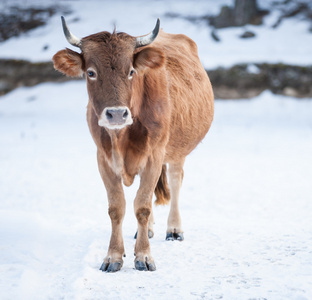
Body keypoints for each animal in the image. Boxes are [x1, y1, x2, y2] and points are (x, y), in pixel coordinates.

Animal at [53, 17, 214, 274]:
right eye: (91, 72)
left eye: (130, 71)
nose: (117, 114)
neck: (121, 137)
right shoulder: (103, 158)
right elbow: (116, 207)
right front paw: (113, 256)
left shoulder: (154, 157)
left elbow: (143, 205)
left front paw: (144, 256)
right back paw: (146, 230)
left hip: (178, 149)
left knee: (175, 181)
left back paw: (174, 229)